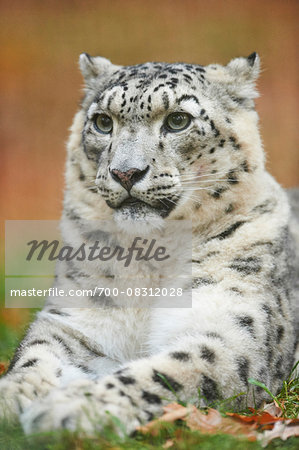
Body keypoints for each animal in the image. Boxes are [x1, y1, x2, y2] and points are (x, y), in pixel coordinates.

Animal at [0, 51, 299, 434]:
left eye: (178, 120)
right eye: (103, 122)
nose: (125, 173)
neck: (150, 263)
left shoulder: (232, 331)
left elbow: (168, 372)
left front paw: (67, 408)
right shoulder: (77, 320)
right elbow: (35, 355)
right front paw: (13, 396)